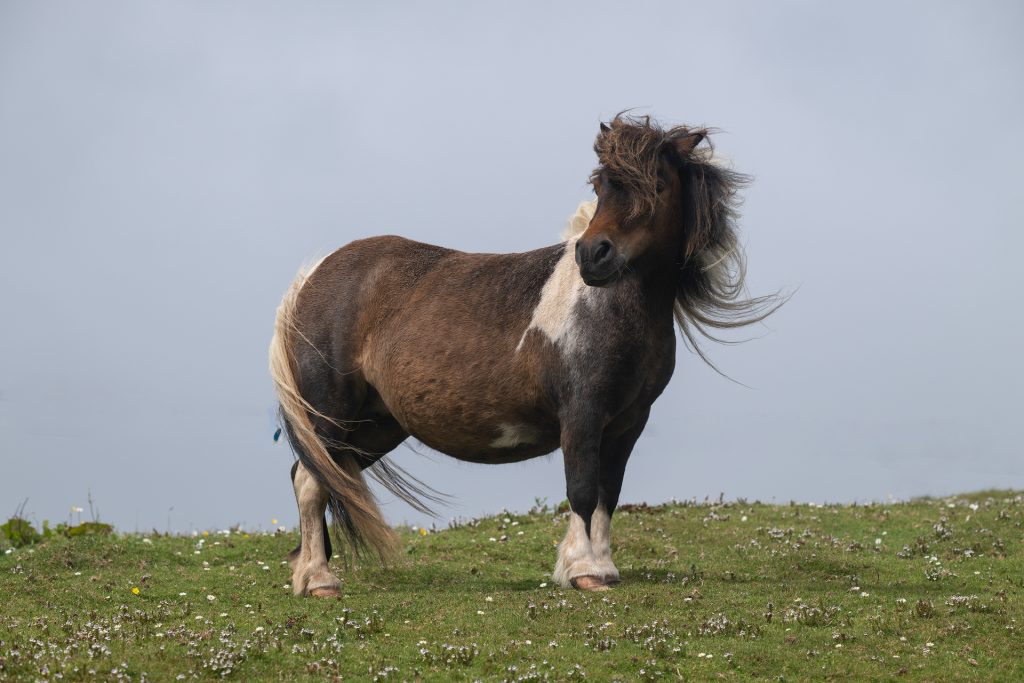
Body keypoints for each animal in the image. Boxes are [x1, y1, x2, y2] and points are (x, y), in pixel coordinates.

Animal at [269, 114, 781, 596]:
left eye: (657, 183)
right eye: (601, 185)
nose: (593, 256)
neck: (608, 306)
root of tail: (313, 276)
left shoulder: (628, 423)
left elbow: (607, 494)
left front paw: (606, 568)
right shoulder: (582, 414)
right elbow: (581, 490)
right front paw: (583, 571)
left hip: (376, 425)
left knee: (317, 475)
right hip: (333, 414)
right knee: (311, 482)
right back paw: (319, 580)